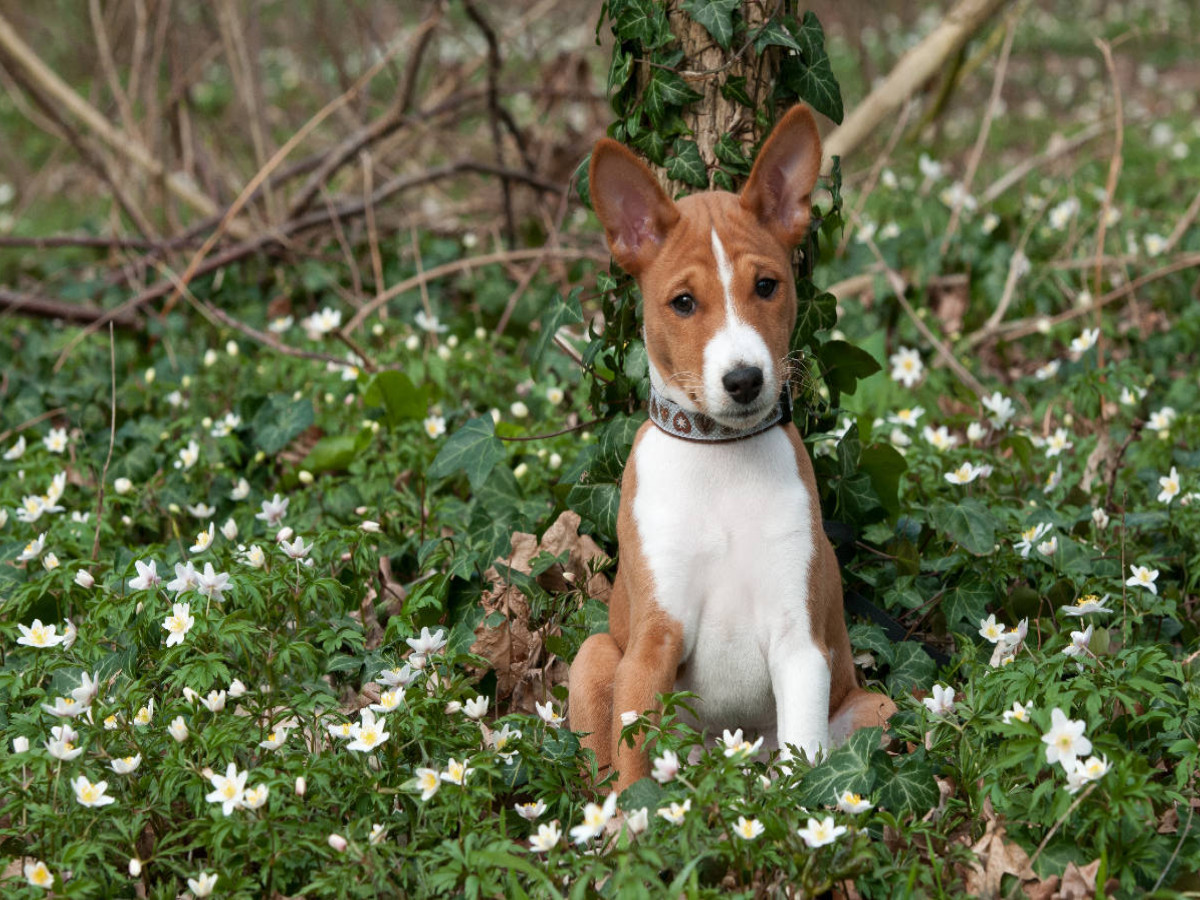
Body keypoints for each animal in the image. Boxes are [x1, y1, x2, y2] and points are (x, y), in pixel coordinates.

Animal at [571, 107, 902, 796]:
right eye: (683, 303)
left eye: (768, 286)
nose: (745, 380)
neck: (720, 458)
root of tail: (727, 763)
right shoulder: (652, 644)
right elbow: (634, 768)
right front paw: (633, 820)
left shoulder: (800, 643)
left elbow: (805, 766)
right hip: (595, 656)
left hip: (874, 706)